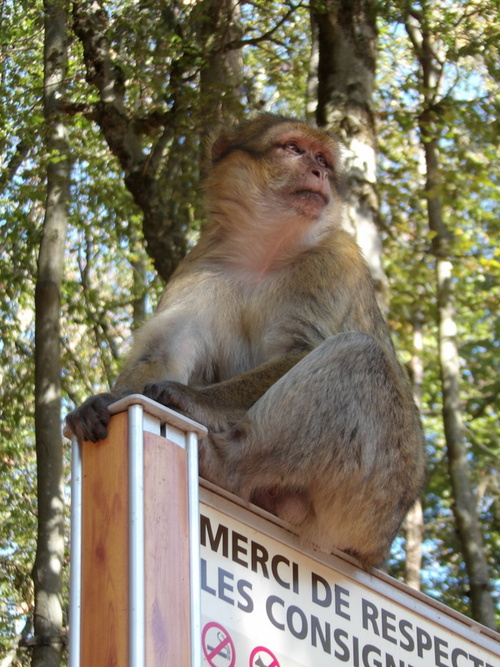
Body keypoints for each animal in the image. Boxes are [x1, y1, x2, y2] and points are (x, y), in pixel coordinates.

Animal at [66, 113, 426, 568]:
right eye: (293, 149)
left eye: (323, 160)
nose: (319, 173)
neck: (266, 253)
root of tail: (377, 549)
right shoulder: (201, 265)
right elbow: (165, 347)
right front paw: (104, 401)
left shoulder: (334, 257)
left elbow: (302, 349)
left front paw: (191, 398)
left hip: (377, 497)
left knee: (360, 355)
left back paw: (225, 463)